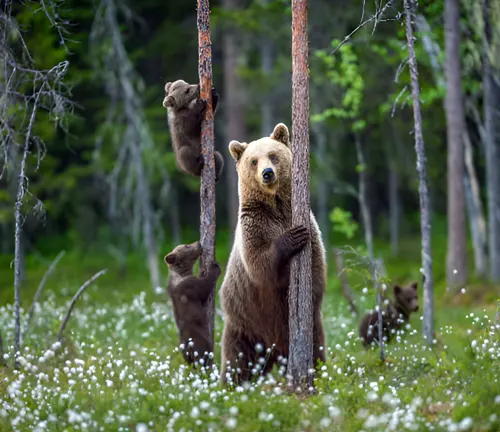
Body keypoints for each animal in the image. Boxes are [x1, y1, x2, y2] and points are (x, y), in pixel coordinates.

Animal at [220, 122, 328, 384]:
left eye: (273, 155)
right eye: (253, 161)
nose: (267, 173)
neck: (276, 207)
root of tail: (274, 352)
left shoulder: (309, 226)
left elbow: (316, 269)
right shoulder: (254, 227)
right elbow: (260, 265)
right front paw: (292, 238)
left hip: (310, 329)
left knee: (317, 349)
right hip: (244, 324)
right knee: (236, 359)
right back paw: (229, 385)